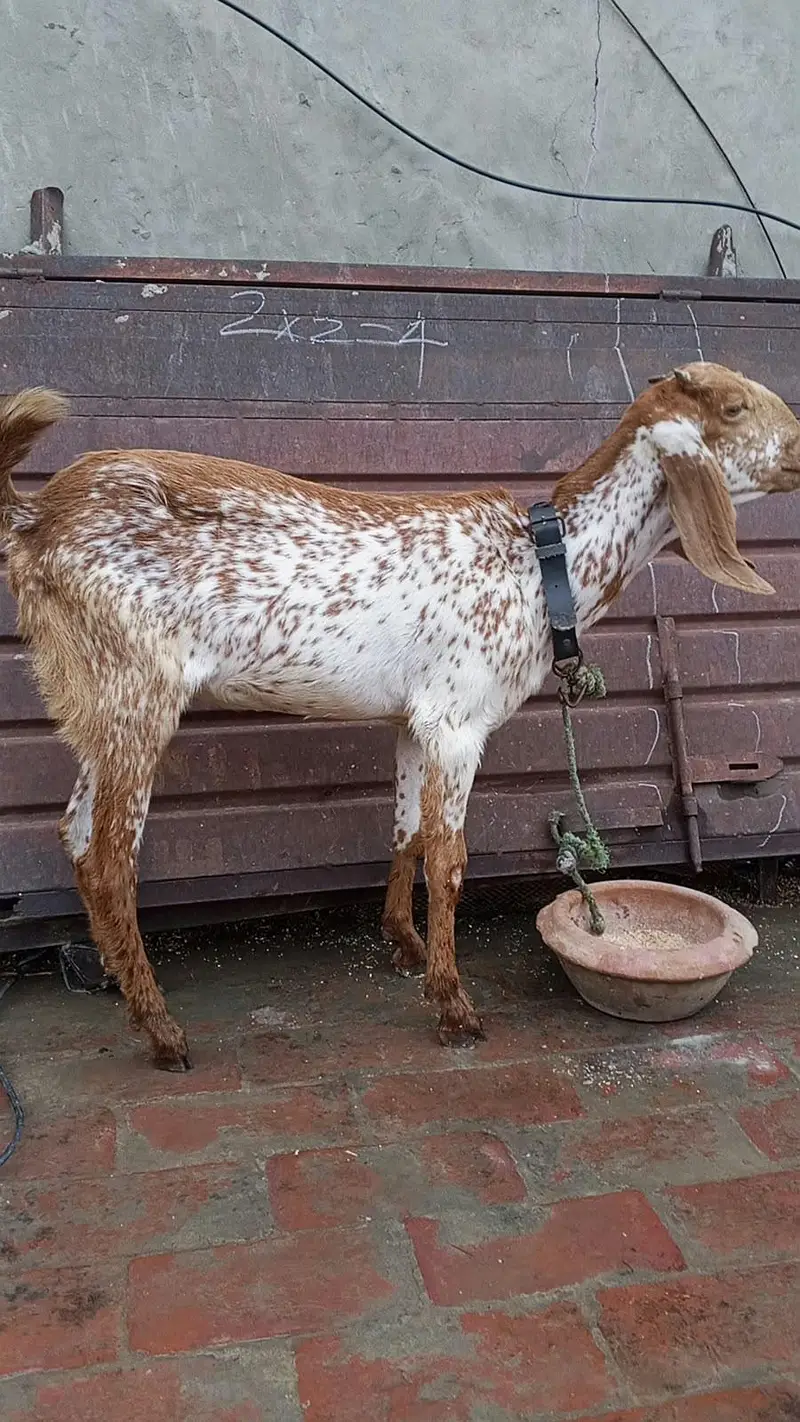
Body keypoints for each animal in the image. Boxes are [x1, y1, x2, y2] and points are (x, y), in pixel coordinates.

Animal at [2, 364, 799, 1070]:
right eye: (733, 408)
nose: (798, 448)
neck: (543, 567)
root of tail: (37, 518)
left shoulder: (416, 721)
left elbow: (408, 832)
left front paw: (404, 948)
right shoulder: (458, 719)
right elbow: (449, 860)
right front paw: (454, 1007)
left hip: (94, 699)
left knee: (74, 833)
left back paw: (117, 979)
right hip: (137, 687)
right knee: (112, 859)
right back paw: (163, 1032)